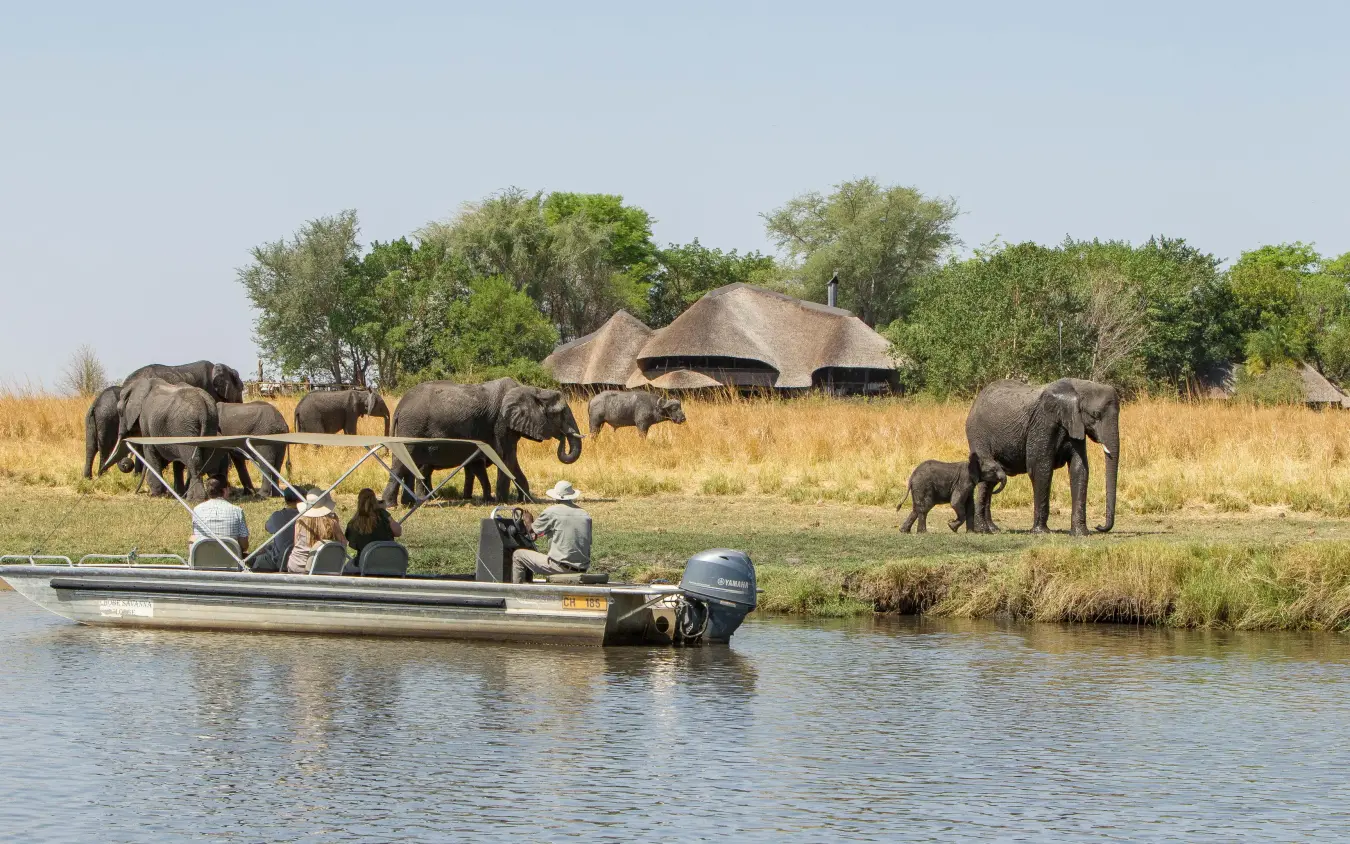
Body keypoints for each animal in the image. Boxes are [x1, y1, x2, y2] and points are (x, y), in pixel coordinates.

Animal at [380, 378, 583, 506]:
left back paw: (408, 503)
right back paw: (392, 505)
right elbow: (505, 458)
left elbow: (512, 461)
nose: (563, 437)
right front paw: (503, 501)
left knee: (410, 464)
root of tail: (399, 407)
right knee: (402, 463)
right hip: (413, 426)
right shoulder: (501, 422)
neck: (530, 389)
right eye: (560, 414)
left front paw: (526, 500)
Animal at [965, 378, 1120, 536]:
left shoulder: (1075, 424)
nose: (1099, 526)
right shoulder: (1044, 423)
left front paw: (1081, 533)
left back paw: (993, 529)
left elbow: (1079, 468)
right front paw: (1041, 532)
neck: (1077, 387)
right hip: (978, 434)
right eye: (1096, 414)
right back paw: (982, 530)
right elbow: (1040, 467)